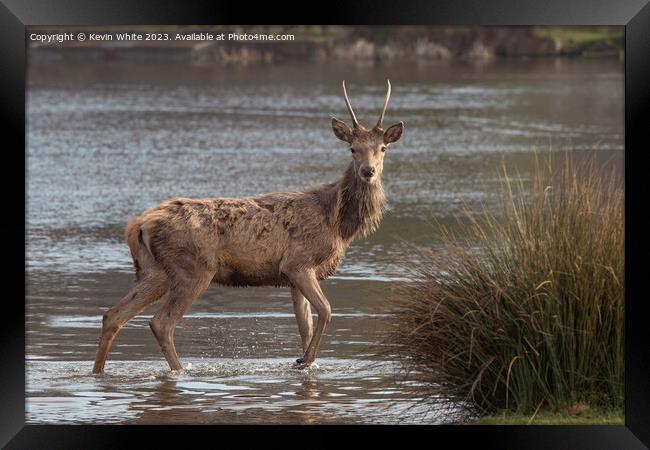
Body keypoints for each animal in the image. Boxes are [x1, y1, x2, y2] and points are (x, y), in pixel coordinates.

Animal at [92, 80, 402, 372]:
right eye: (352, 148)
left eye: (382, 148)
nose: (368, 171)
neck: (338, 223)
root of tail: (138, 225)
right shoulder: (298, 262)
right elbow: (325, 310)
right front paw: (305, 360)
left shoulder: (294, 276)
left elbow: (305, 326)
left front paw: (303, 360)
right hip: (193, 268)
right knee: (161, 322)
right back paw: (180, 370)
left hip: (153, 271)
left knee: (113, 315)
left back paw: (99, 372)